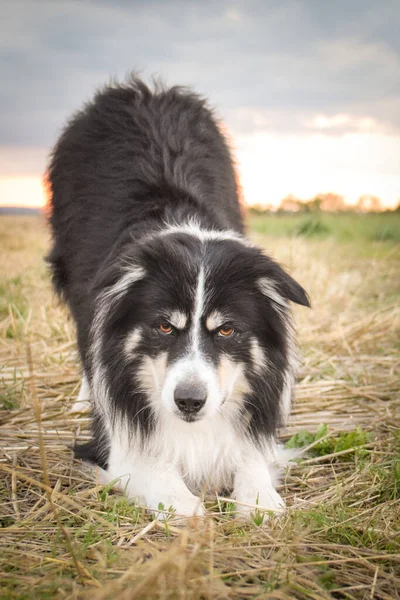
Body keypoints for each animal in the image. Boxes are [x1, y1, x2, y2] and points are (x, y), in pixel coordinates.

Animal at [46, 74, 310, 516]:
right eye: (164, 327)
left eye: (226, 331)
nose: (189, 402)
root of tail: (141, 89)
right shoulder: (117, 444)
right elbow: (168, 487)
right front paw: (194, 515)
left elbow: (251, 460)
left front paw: (263, 503)